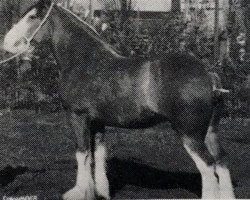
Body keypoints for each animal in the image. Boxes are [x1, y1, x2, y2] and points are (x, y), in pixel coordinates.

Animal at [2, 0, 236, 199]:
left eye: (32, 16)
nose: (6, 44)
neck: (84, 60)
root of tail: (208, 74)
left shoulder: (78, 117)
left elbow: (82, 153)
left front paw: (79, 192)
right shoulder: (97, 122)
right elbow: (97, 155)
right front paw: (101, 192)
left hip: (189, 133)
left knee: (208, 167)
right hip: (210, 131)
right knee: (221, 162)